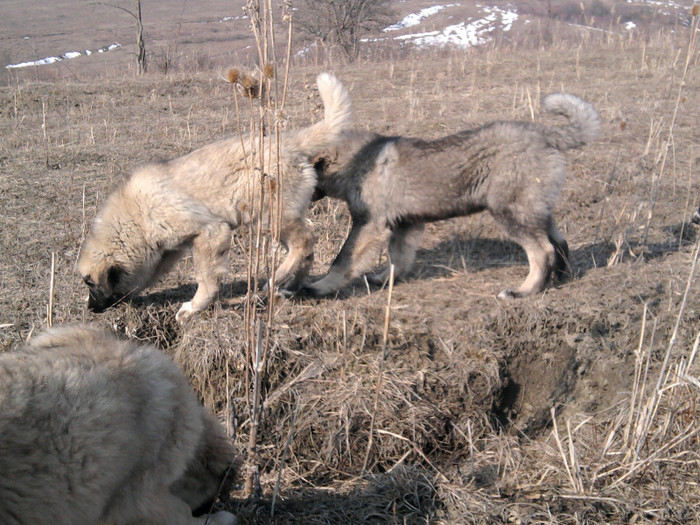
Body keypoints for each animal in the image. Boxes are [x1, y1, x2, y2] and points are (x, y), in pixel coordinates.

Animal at [304, 93, 600, 298]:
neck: (355, 160)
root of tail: (546, 134)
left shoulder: (369, 224)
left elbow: (343, 259)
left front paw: (318, 287)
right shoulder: (405, 224)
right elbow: (398, 258)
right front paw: (385, 280)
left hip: (509, 211)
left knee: (542, 252)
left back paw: (523, 291)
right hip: (533, 208)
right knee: (559, 242)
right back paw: (557, 280)